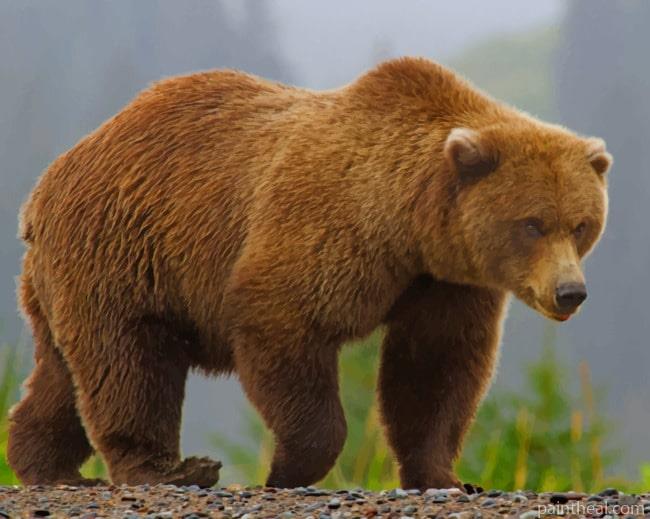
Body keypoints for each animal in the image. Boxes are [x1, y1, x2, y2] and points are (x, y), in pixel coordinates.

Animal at [7, 57, 612, 490]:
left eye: (581, 224)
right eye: (532, 223)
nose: (571, 292)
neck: (408, 225)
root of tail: (46, 185)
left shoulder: (446, 282)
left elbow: (434, 368)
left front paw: (446, 476)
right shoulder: (326, 230)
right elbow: (283, 323)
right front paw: (286, 468)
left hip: (70, 276)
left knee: (63, 373)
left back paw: (45, 464)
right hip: (125, 249)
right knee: (129, 363)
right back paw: (168, 469)